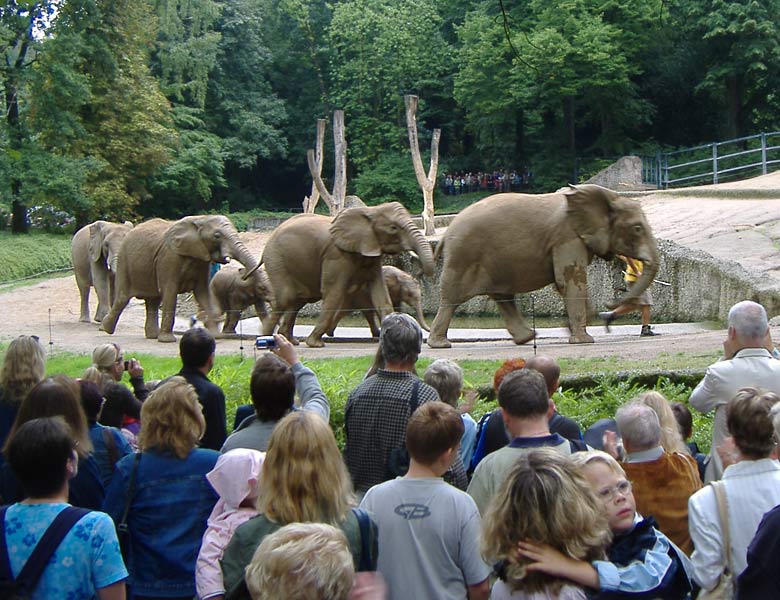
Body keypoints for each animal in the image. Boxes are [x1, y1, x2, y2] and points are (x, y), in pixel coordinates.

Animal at [99, 214, 258, 342]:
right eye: (217, 235)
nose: (243, 272)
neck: (200, 219)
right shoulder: (169, 258)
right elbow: (170, 291)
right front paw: (167, 340)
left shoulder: (201, 259)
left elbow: (203, 292)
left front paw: (215, 336)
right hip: (124, 261)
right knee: (123, 298)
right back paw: (106, 329)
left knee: (153, 301)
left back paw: (152, 336)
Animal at [260, 202, 432, 346]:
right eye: (393, 228)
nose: (419, 270)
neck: (371, 210)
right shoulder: (336, 255)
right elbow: (333, 291)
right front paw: (315, 344)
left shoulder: (372, 251)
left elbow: (380, 294)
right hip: (276, 259)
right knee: (286, 298)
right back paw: (266, 338)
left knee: (298, 299)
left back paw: (290, 340)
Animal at [426, 185, 660, 350]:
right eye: (637, 228)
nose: (611, 301)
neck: (608, 196)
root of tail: (446, 234)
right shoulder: (566, 238)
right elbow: (570, 281)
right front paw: (584, 340)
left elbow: (568, 282)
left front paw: (572, 327)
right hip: (464, 256)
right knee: (453, 297)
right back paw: (440, 344)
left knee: (502, 296)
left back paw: (527, 338)